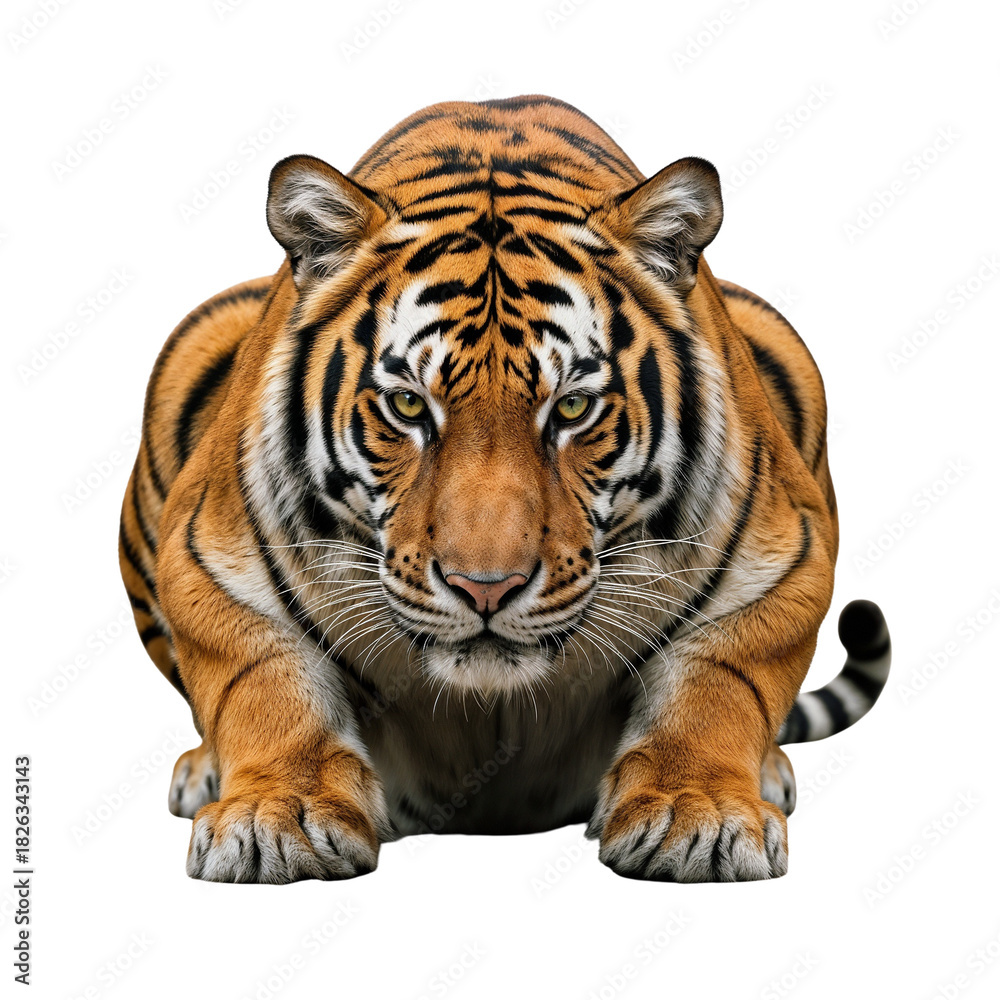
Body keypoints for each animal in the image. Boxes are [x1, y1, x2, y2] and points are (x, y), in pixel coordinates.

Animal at [119, 95, 891, 884]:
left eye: (572, 409)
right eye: (408, 405)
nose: (484, 589)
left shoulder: (784, 558)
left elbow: (721, 680)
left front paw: (696, 810)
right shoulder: (207, 556)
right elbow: (263, 676)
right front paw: (279, 815)